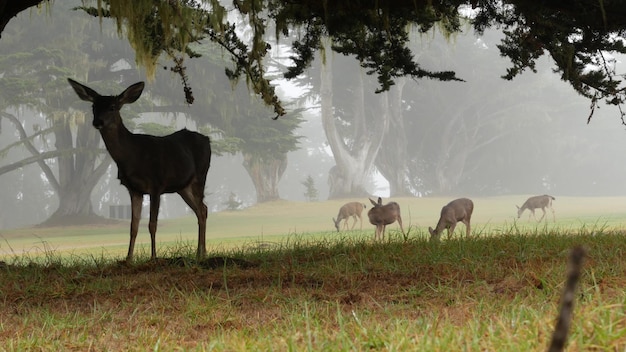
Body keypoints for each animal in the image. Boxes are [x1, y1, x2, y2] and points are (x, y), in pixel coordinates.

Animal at [67, 78, 211, 262]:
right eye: (94, 107)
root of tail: (208, 140)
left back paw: (202, 254)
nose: (97, 122)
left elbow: (152, 224)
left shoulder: (156, 184)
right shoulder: (134, 189)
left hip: (201, 175)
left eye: (112, 107)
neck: (132, 157)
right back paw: (200, 253)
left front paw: (153, 257)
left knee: (202, 210)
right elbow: (133, 226)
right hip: (182, 187)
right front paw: (128, 258)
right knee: (202, 209)